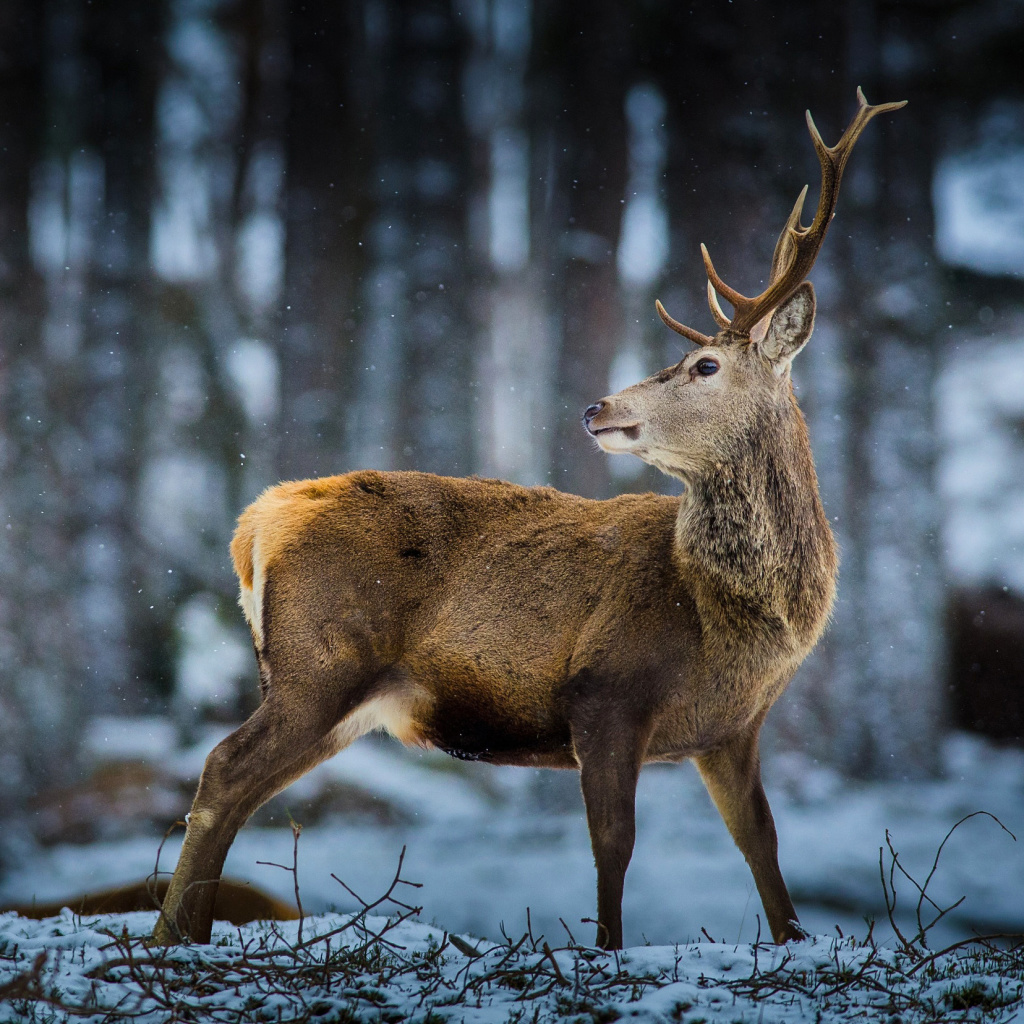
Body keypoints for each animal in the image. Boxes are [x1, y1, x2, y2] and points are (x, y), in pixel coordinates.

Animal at [151, 90, 905, 950]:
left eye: (705, 366)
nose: (595, 408)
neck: (731, 619)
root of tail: (256, 522)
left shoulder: (732, 730)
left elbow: (763, 847)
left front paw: (792, 939)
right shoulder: (606, 689)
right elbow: (614, 844)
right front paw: (606, 949)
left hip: (339, 692)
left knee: (243, 787)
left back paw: (185, 932)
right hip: (322, 660)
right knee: (223, 768)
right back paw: (170, 936)